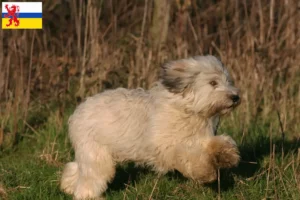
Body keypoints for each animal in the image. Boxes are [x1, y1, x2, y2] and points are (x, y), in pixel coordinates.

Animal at [61, 54, 241, 198]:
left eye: (228, 81)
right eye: (213, 82)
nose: (235, 97)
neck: (188, 109)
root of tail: (78, 112)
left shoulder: (199, 137)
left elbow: (212, 143)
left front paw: (226, 153)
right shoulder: (167, 147)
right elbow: (189, 157)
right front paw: (205, 172)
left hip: (90, 154)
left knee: (77, 169)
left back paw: (67, 185)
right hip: (97, 155)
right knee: (88, 182)